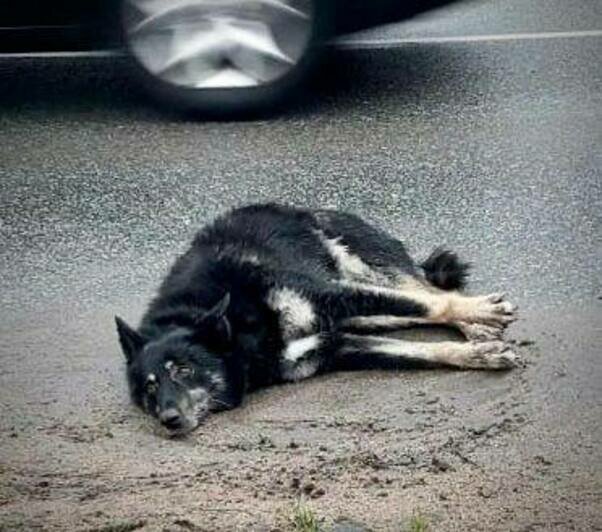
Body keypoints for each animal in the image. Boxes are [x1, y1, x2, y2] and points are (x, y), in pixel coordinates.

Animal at [116, 205, 516, 436]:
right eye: (150, 388)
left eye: (183, 370)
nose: (168, 419)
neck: (240, 328)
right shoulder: (335, 346)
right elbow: (416, 350)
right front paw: (478, 354)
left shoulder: (328, 294)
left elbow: (429, 305)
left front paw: (480, 316)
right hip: (364, 313)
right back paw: (480, 332)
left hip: (363, 270)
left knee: (427, 290)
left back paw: (480, 316)